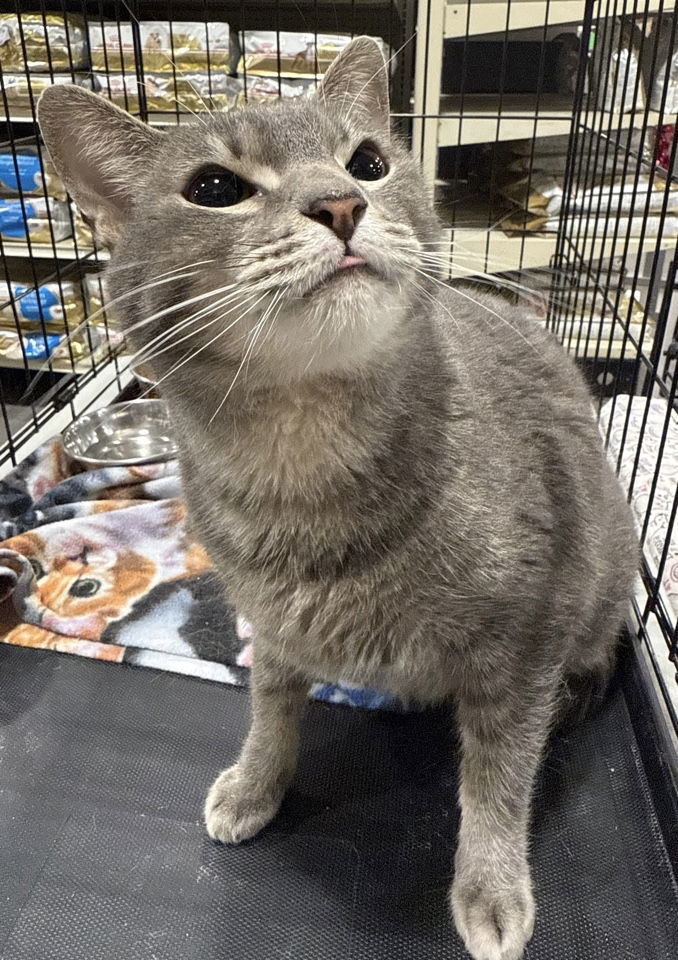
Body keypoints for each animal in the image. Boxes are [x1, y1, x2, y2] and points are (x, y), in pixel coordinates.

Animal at [39, 39, 640, 960]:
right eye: (214, 187)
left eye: (369, 163)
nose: (341, 203)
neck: (301, 459)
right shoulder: (269, 623)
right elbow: (269, 709)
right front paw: (257, 782)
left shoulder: (525, 638)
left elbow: (497, 778)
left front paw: (491, 884)